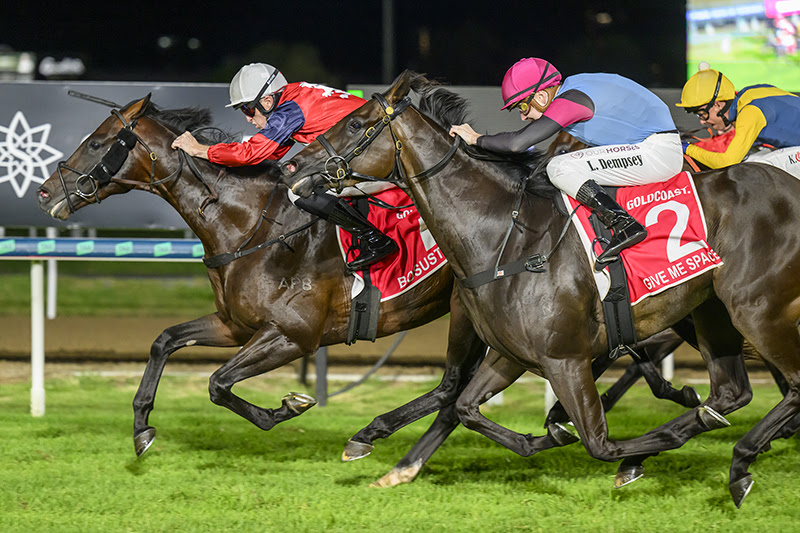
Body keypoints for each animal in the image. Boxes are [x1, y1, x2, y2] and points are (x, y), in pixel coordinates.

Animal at [282, 70, 800, 508]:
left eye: (355, 124)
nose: (293, 164)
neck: (502, 237)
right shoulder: (510, 354)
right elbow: (466, 406)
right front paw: (543, 436)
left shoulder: (565, 358)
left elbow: (601, 444)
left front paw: (611, 447)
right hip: (711, 312)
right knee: (730, 393)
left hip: (756, 308)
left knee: (789, 385)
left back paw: (738, 463)